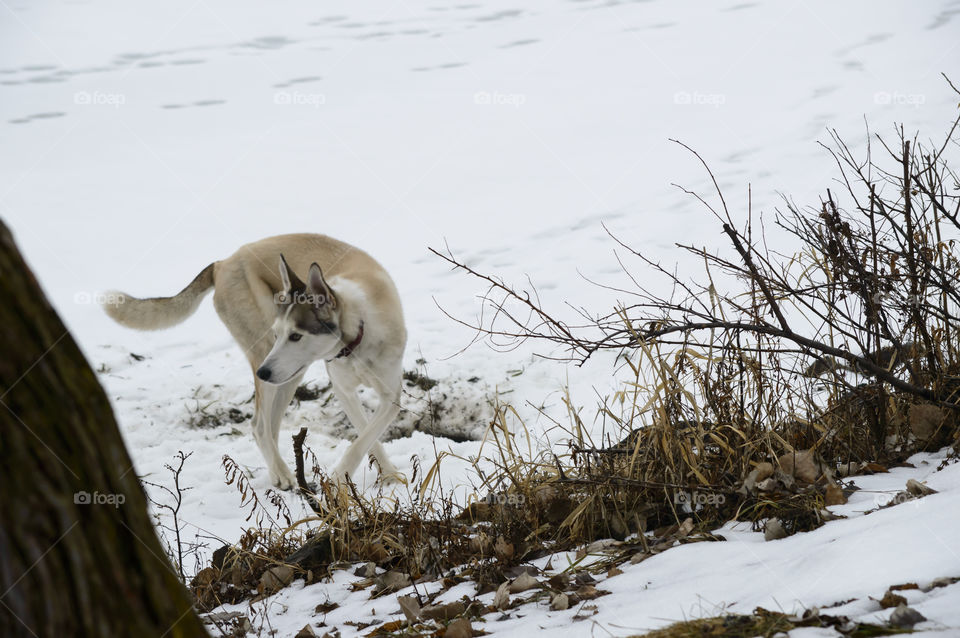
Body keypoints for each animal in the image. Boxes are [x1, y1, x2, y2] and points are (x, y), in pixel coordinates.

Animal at [101, 235, 404, 490]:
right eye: (279, 333)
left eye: (296, 336)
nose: (262, 372)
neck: (356, 336)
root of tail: (222, 263)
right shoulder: (343, 390)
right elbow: (363, 437)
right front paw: (343, 475)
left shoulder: (390, 396)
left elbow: (367, 436)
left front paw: (387, 475)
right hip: (272, 357)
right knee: (259, 425)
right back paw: (282, 474)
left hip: (287, 373)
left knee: (269, 427)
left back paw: (279, 471)